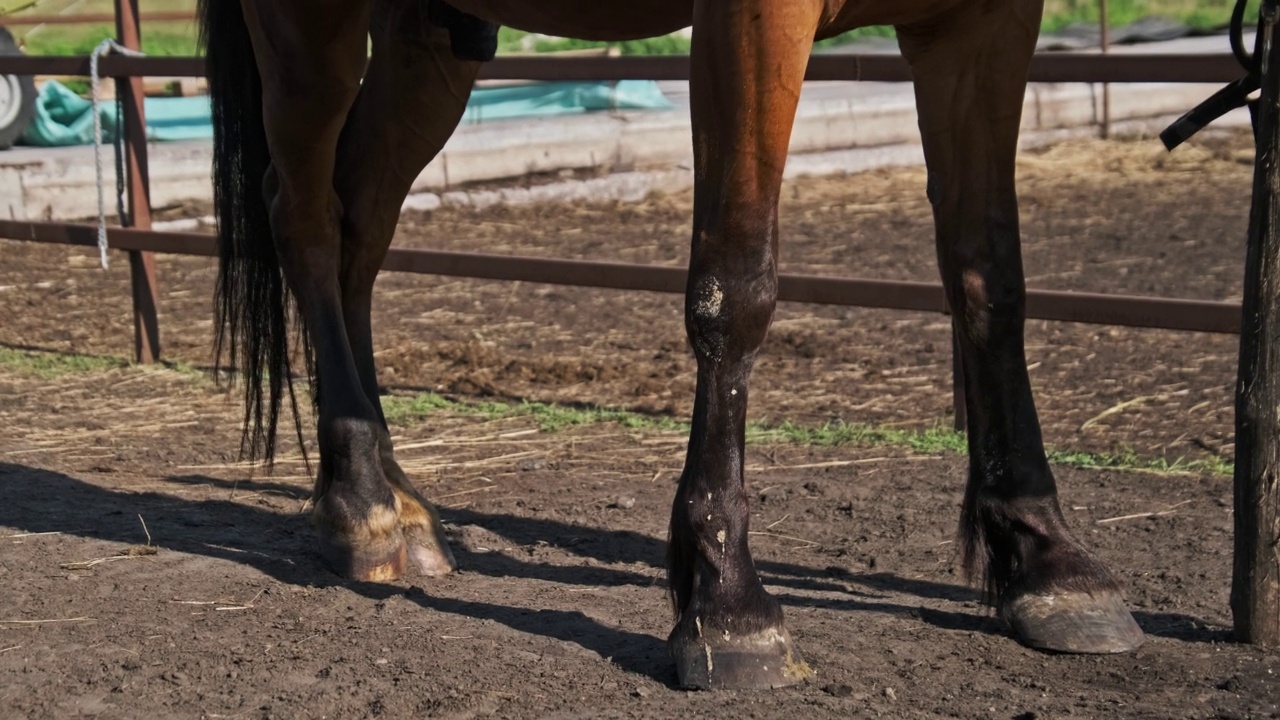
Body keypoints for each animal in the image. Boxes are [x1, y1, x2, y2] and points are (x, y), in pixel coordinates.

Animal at [202, 0, 1152, 691]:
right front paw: (728, 603)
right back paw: (361, 508)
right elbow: (736, 288)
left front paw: (1048, 558)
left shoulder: (985, 20)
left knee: (360, 221)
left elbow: (990, 278)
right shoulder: (756, 16)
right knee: (306, 218)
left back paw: (398, 499)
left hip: (427, 36)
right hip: (308, 24)